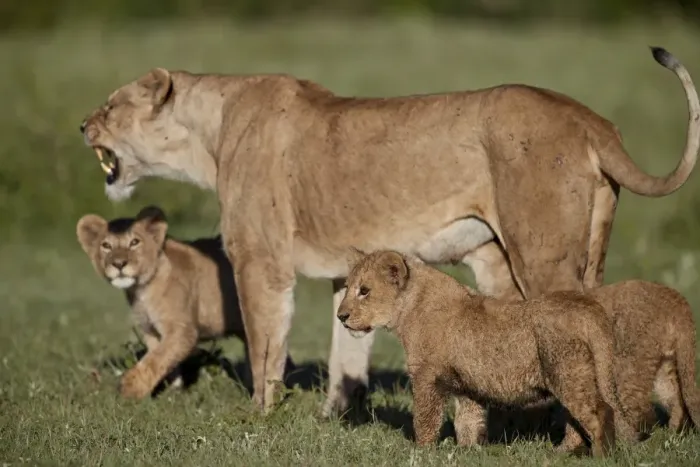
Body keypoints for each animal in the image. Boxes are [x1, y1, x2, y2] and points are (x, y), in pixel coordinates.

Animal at [76, 206, 293, 399]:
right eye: (106, 246)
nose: (119, 264)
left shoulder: (182, 331)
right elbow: (161, 359)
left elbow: (154, 360)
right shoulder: (151, 331)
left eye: (134, 242)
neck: (141, 289)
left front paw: (130, 389)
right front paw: (173, 392)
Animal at [337, 249, 637, 457]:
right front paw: (467, 453)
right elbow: (468, 422)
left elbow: (425, 418)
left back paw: (600, 456)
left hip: (568, 374)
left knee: (600, 412)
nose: (341, 316)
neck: (410, 307)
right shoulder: (468, 387)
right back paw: (562, 454)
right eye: (347, 288)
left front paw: (421, 452)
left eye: (364, 291)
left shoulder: (427, 377)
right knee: (578, 420)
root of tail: (590, 308)